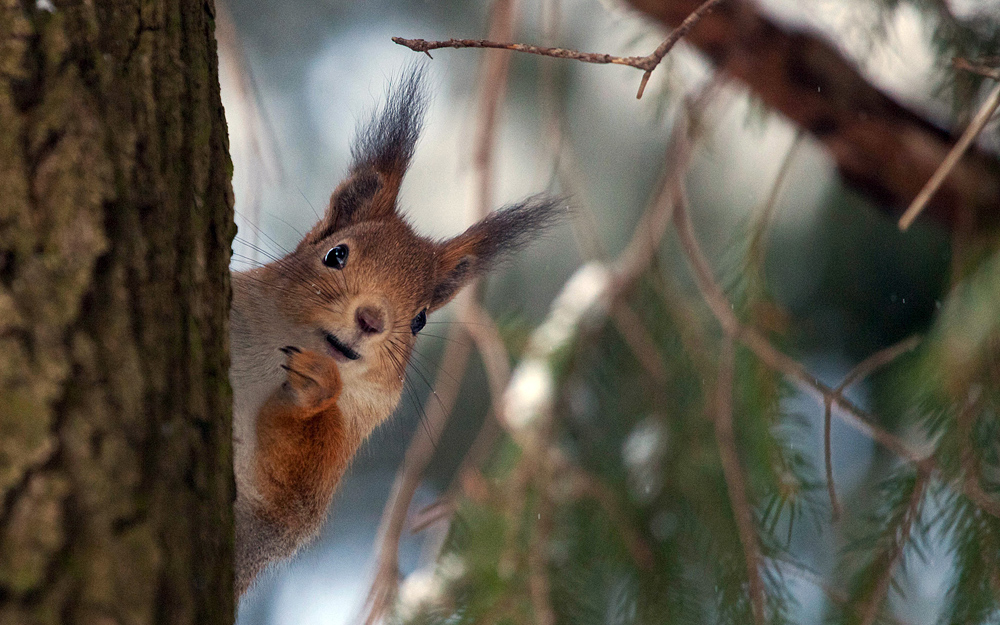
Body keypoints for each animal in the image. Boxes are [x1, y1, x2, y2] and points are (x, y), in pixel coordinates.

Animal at [229, 68, 568, 596]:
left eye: (420, 320)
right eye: (335, 254)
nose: (371, 319)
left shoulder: (305, 489)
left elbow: (288, 493)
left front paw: (314, 388)